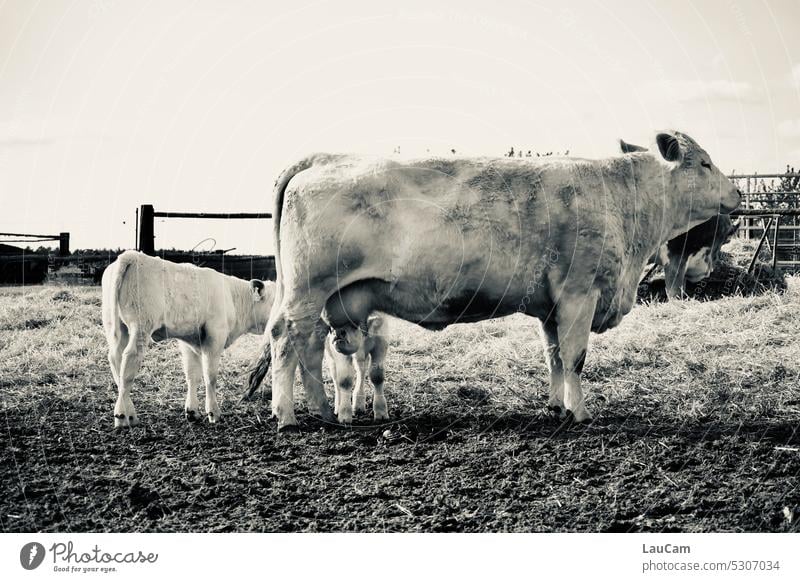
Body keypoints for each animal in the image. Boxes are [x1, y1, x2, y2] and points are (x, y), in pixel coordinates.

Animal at [101, 251, 276, 428]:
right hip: (141, 327)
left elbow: (192, 374)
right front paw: (213, 412)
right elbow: (210, 376)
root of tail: (131, 256)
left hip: (115, 326)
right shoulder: (214, 337)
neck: (233, 297)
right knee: (129, 361)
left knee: (116, 362)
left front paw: (192, 411)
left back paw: (130, 415)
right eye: (274, 302)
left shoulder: (190, 341)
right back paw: (122, 416)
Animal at [264, 133, 744, 434]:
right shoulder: (579, 293)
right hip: (307, 290)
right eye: (704, 162)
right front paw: (581, 412)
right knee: (286, 339)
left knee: (310, 347)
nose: (738, 195)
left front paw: (556, 406)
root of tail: (325, 158)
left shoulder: (551, 306)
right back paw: (287, 415)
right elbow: (575, 358)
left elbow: (554, 357)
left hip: (322, 298)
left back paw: (323, 411)